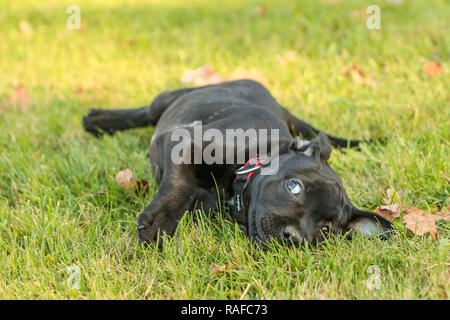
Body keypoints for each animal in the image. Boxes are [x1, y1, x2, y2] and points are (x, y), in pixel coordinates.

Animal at [82, 79, 392, 246]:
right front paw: (159, 223)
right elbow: (179, 186)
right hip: (174, 98)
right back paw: (98, 121)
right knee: (144, 113)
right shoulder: (185, 143)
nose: (293, 237)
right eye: (293, 187)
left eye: (325, 230)